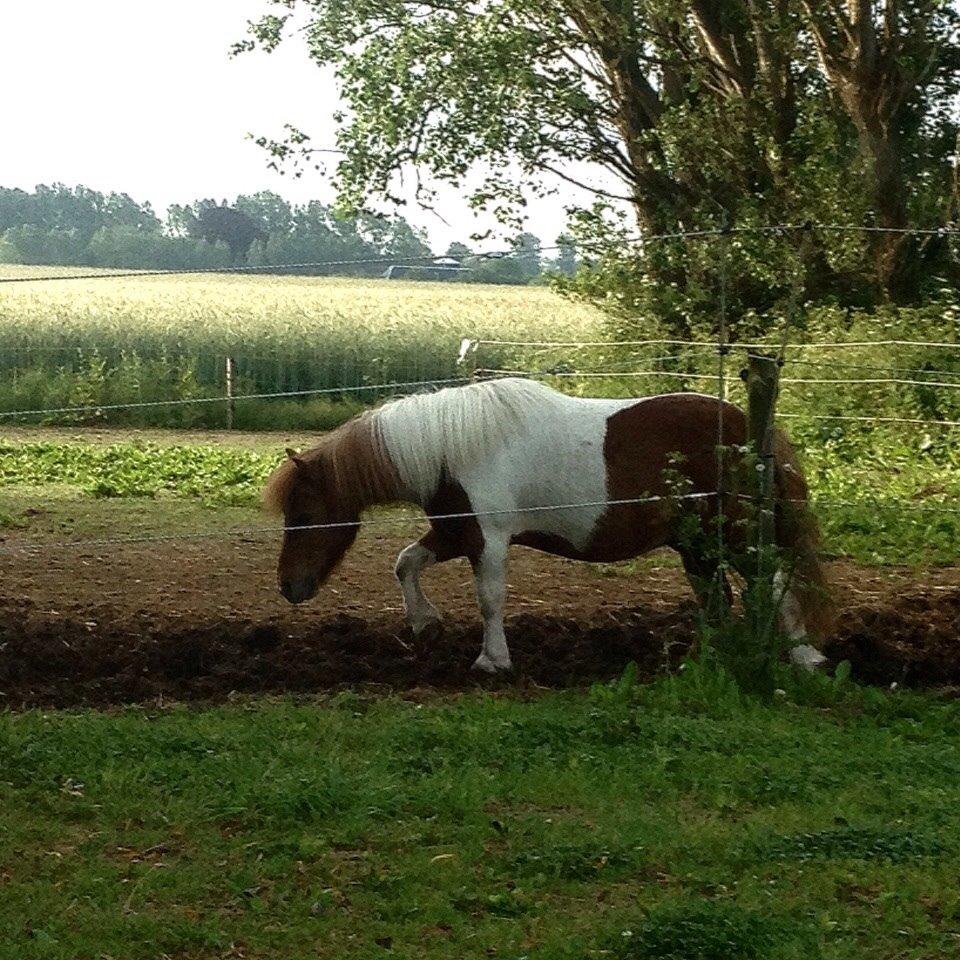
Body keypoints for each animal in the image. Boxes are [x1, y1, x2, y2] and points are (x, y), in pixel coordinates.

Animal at [262, 378, 832, 672]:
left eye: (304, 516)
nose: (289, 587)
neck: (452, 445)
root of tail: (751, 430)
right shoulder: (454, 532)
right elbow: (406, 563)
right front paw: (425, 624)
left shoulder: (487, 540)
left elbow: (490, 600)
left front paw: (493, 660)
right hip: (697, 545)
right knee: (718, 597)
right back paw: (705, 657)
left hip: (735, 536)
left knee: (774, 582)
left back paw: (804, 657)